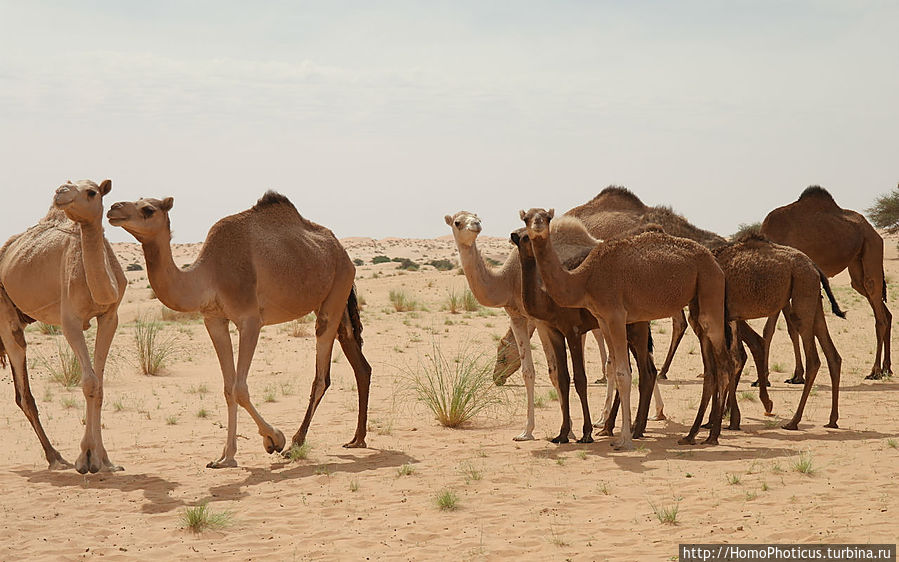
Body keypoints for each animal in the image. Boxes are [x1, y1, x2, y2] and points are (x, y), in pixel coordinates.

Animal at [0, 180, 126, 472]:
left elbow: (99, 385)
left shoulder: (110, 317)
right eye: (69, 186)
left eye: (92, 192)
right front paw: (86, 459)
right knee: (23, 389)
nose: (61, 191)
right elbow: (89, 382)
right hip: (4, 314)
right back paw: (56, 458)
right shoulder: (70, 321)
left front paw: (105, 461)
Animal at [107, 190, 370, 466]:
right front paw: (225, 457)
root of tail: (344, 253)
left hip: (336, 291)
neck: (209, 275)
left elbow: (240, 388)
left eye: (148, 209)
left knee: (322, 375)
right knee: (358, 360)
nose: (113, 208)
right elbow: (228, 388)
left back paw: (296, 442)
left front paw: (274, 439)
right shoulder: (214, 320)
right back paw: (357, 439)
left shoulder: (250, 320)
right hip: (332, 299)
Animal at [520, 208, 740, 448]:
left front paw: (623, 439)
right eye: (527, 218)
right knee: (710, 367)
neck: (584, 279)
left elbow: (623, 374)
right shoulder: (603, 319)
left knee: (725, 363)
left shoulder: (614, 316)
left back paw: (712, 435)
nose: (537, 225)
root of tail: (715, 261)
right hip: (697, 301)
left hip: (710, 287)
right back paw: (692, 435)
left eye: (547, 217)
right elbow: (616, 372)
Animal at [760, 186, 892, 378]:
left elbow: (784, 328)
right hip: (857, 267)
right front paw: (792, 375)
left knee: (878, 310)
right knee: (883, 310)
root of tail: (874, 231)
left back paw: (875, 371)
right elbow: (780, 329)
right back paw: (887, 368)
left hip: (871, 247)